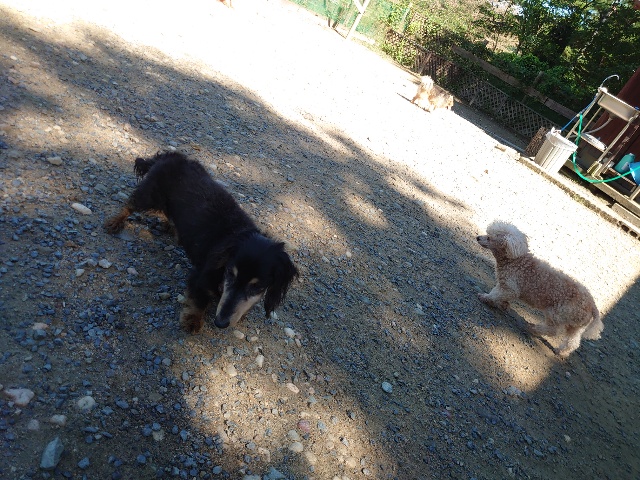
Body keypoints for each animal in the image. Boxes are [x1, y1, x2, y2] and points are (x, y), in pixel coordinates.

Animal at [104, 151, 298, 333]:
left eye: (257, 286)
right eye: (230, 273)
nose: (220, 323)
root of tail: (171, 156)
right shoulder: (200, 276)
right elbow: (199, 299)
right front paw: (193, 320)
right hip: (149, 195)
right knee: (129, 205)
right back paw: (115, 222)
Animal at [476, 221, 603, 357]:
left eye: (489, 238)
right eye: (487, 233)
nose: (477, 237)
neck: (515, 260)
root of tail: (593, 305)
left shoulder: (510, 288)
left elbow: (495, 294)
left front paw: (486, 298)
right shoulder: (505, 287)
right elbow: (498, 294)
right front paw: (501, 304)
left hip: (556, 313)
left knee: (553, 330)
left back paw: (533, 328)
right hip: (575, 326)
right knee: (573, 342)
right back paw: (561, 351)